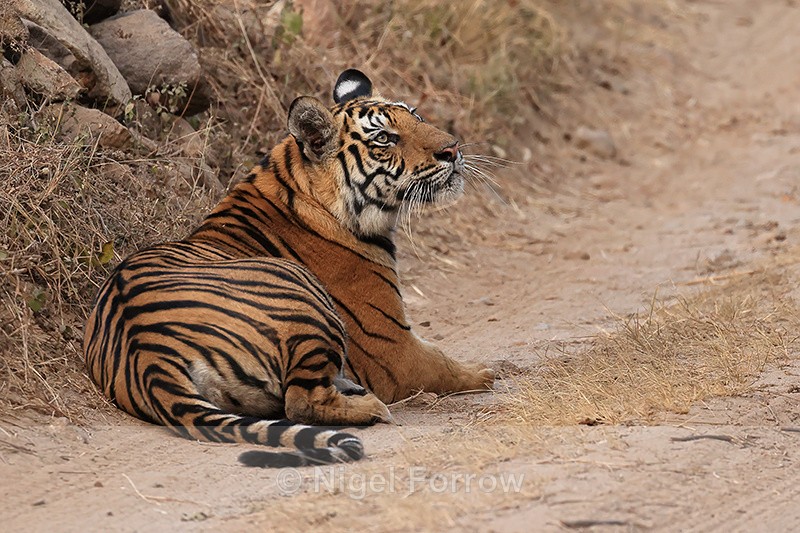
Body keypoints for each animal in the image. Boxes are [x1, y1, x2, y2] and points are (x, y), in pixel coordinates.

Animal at [84, 69, 495, 468]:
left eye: (417, 117)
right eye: (384, 138)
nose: (453, 149)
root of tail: (148, 356)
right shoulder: (393, 348)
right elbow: (443, 363)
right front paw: (487, 373)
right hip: (303, 296)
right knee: (300, 401)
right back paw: (371, 407)